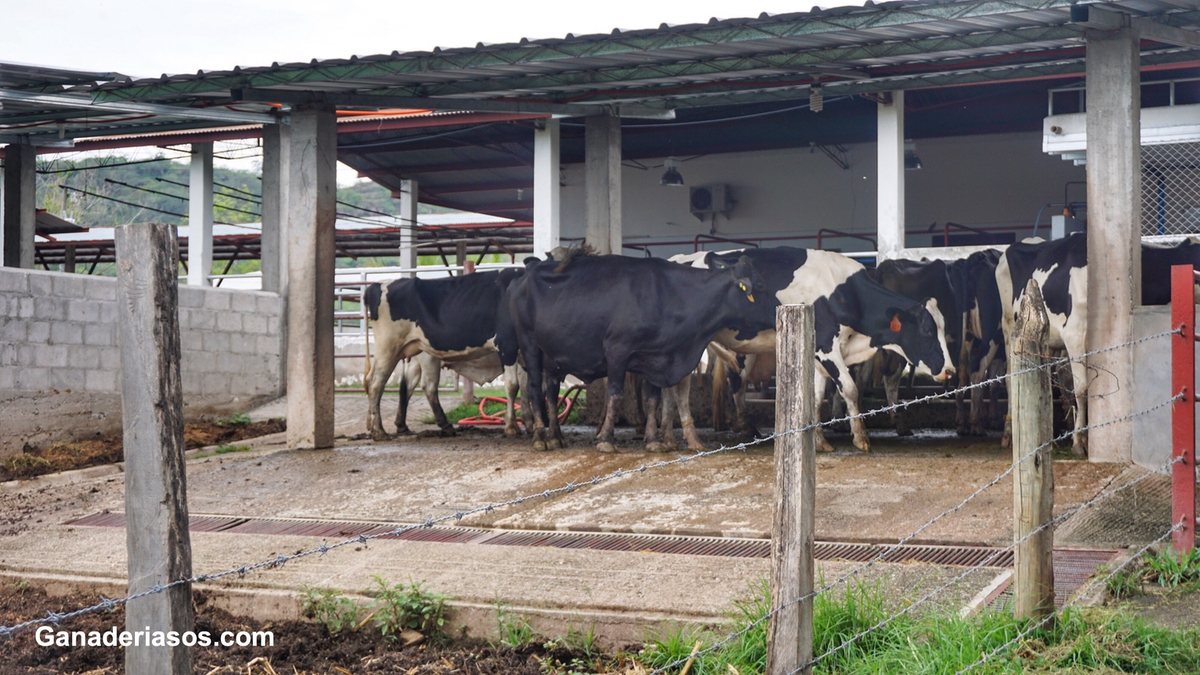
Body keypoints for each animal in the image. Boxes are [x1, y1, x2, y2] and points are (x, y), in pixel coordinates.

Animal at [360, 269, 520, 441]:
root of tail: (378, 285)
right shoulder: (507, 344)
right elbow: (513, 386)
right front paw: (513, 426)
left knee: (407, 385)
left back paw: (398, 426)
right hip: (391, 348)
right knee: (378, 382)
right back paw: (379, 431)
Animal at [501, 249, 772, 449]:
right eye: (759, 286)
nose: (779, 306)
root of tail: (522, 277)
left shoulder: (655, 357)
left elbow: (653, 399)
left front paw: (653, 440)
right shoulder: (617, 350)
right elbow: (615, 394)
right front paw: (606, 439)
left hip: (553, 356)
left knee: (551, 390)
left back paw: (556, 437)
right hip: (529, 345)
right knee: (534, 387)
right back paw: (539, 437)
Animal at [667, 247, 955, 451]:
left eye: (943, 328)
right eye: (927, 331)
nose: (951, 371)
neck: (844, 292)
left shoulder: (818, 354)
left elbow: (815, 398)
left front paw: (818, 441)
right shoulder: (826, 348)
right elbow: (849, 389)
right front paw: (861, 438)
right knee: (679, 387)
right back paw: (683, 439)